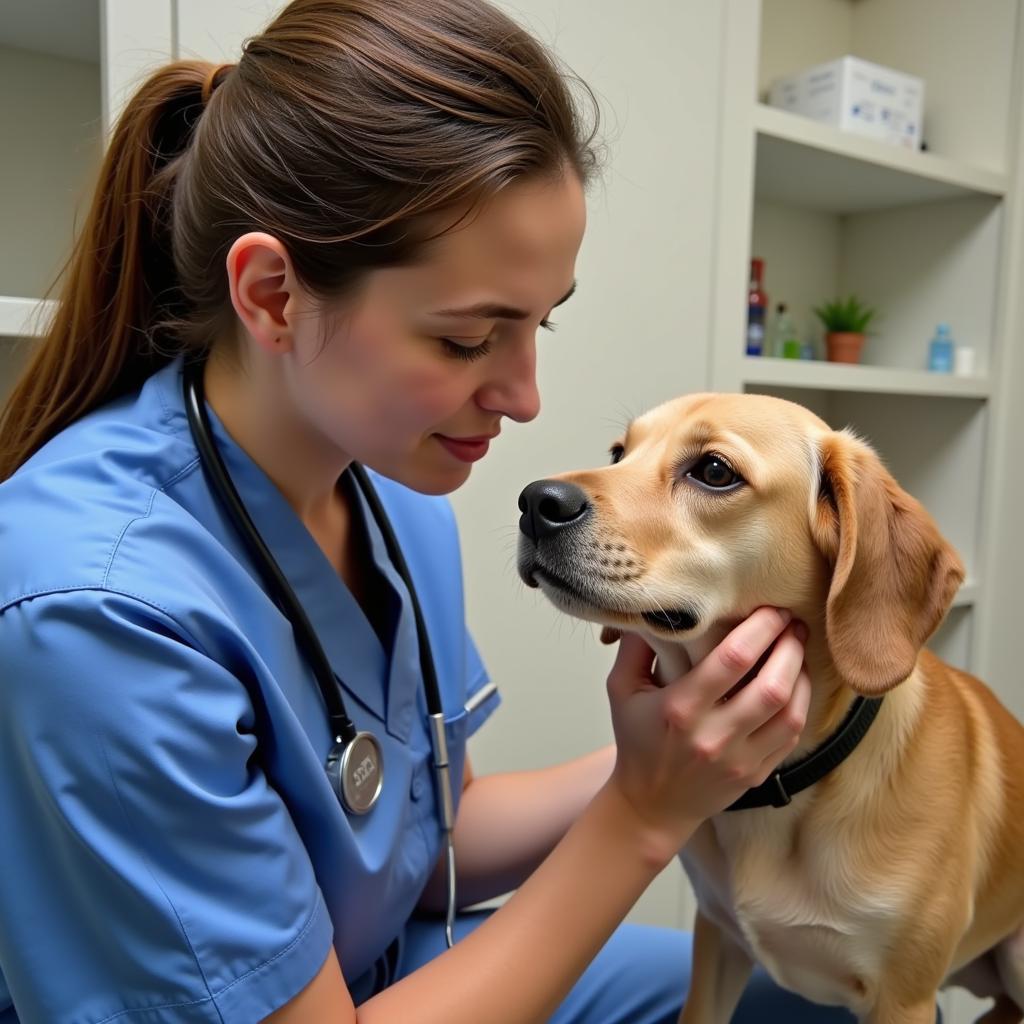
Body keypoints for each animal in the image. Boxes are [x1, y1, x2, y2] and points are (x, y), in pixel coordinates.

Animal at [520, 391, 1024, 1024]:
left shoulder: (904, 999)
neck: (789, 786)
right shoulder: (716, 943)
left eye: (714, 471)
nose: (535, 502)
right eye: (618, 453)